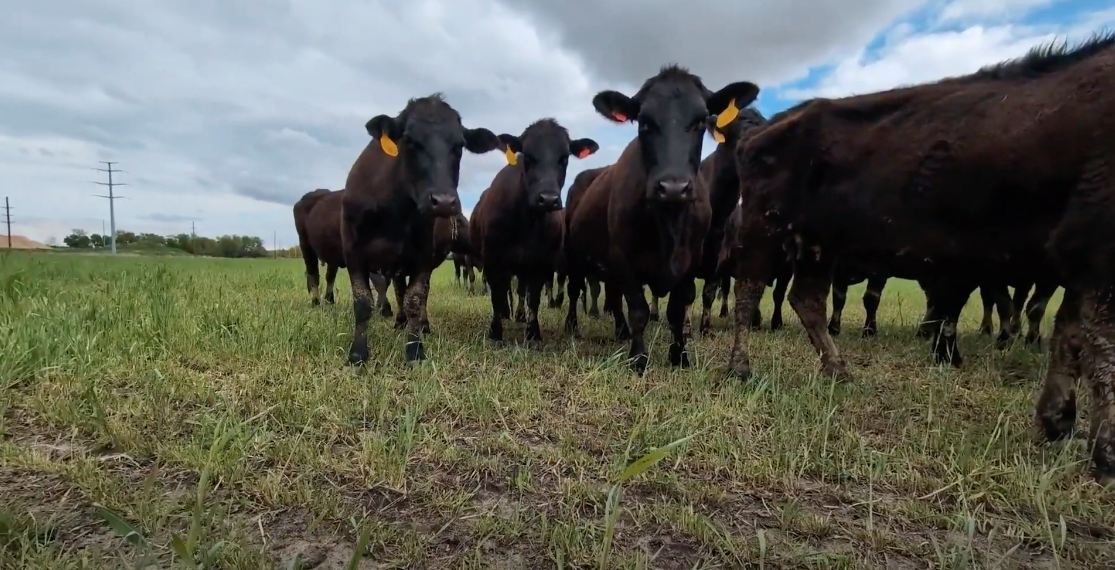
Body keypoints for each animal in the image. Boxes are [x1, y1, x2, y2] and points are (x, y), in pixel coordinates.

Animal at [342, 93, 503, 364]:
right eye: (409, 139)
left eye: (459, 145)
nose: (444, 201)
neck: (394, 211)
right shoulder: (354, 253)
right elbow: (363, 303)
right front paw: (358, 353)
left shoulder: (423, 257)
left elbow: (415, 299)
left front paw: (415, 349)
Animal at [470, 119, 599, 347]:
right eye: (528, 155)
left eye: (564, 157)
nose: (548, 199)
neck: (526, 223)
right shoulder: (493, 260)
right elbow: (496, 296)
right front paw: (495, 333)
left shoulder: (540, 264)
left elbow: (534, 299)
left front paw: (533, 334)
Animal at [565, 64, 760, 373]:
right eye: (644, 122)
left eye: (700, 121)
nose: (673, 187)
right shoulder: (625, 259)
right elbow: (639, 310)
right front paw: (638, 358)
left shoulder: (693, 262)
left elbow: (678, 311)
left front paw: (680, 356)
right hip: (573, 256)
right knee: (575, 291)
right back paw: (574, 326)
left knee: (612, 296)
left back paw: (620, 331)